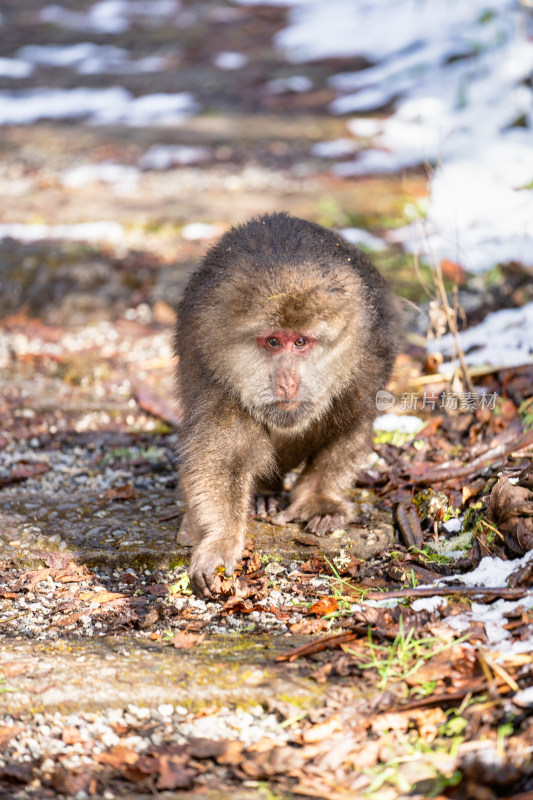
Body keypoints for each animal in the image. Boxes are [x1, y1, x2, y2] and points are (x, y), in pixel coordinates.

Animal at [175, 212, 400, 592]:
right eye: (273, 342)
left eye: (300, 342)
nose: (287, 382)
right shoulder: (216, 375)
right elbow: (224, 457)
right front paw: (219, 541)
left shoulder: (366, 362)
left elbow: (353, 423)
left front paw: (320, 499)